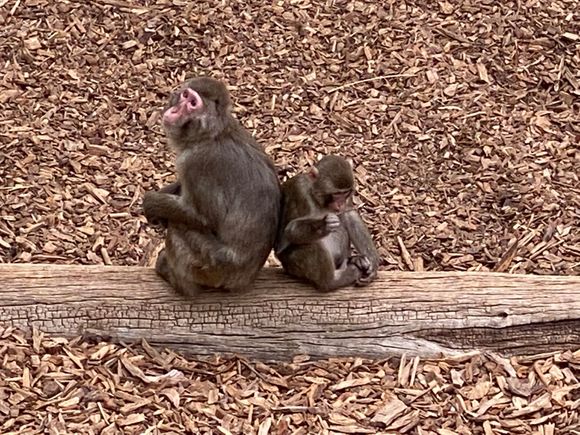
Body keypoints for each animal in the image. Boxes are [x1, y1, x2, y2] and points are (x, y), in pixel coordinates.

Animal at [142, 77, 281, 296]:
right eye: (185, 95)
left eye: (192, 104)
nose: (175, 110)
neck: (211, 135)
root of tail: (244, 280)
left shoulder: (196, 163)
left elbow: (205, 218)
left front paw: (152, 204)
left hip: (214, 268)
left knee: (179, 228)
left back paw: (181, 284)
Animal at [274, 155, 380, 291]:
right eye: (336, 193)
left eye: (345, 193)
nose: (340, 203)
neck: (317, 197)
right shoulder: (300, 191)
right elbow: (291, 230)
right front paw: (323, 225)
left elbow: (348, 214)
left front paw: (372, 261)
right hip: (291, 264)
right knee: (313, 244)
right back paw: (333, 281)